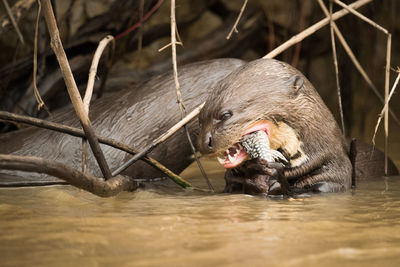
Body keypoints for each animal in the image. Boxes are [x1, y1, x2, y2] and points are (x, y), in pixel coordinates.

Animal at [198, 59, 398, 197]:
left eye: (225, 115)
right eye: (200, 119)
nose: (204, 143)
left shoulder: (333, 177)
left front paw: (273, 177)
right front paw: (256, 175)